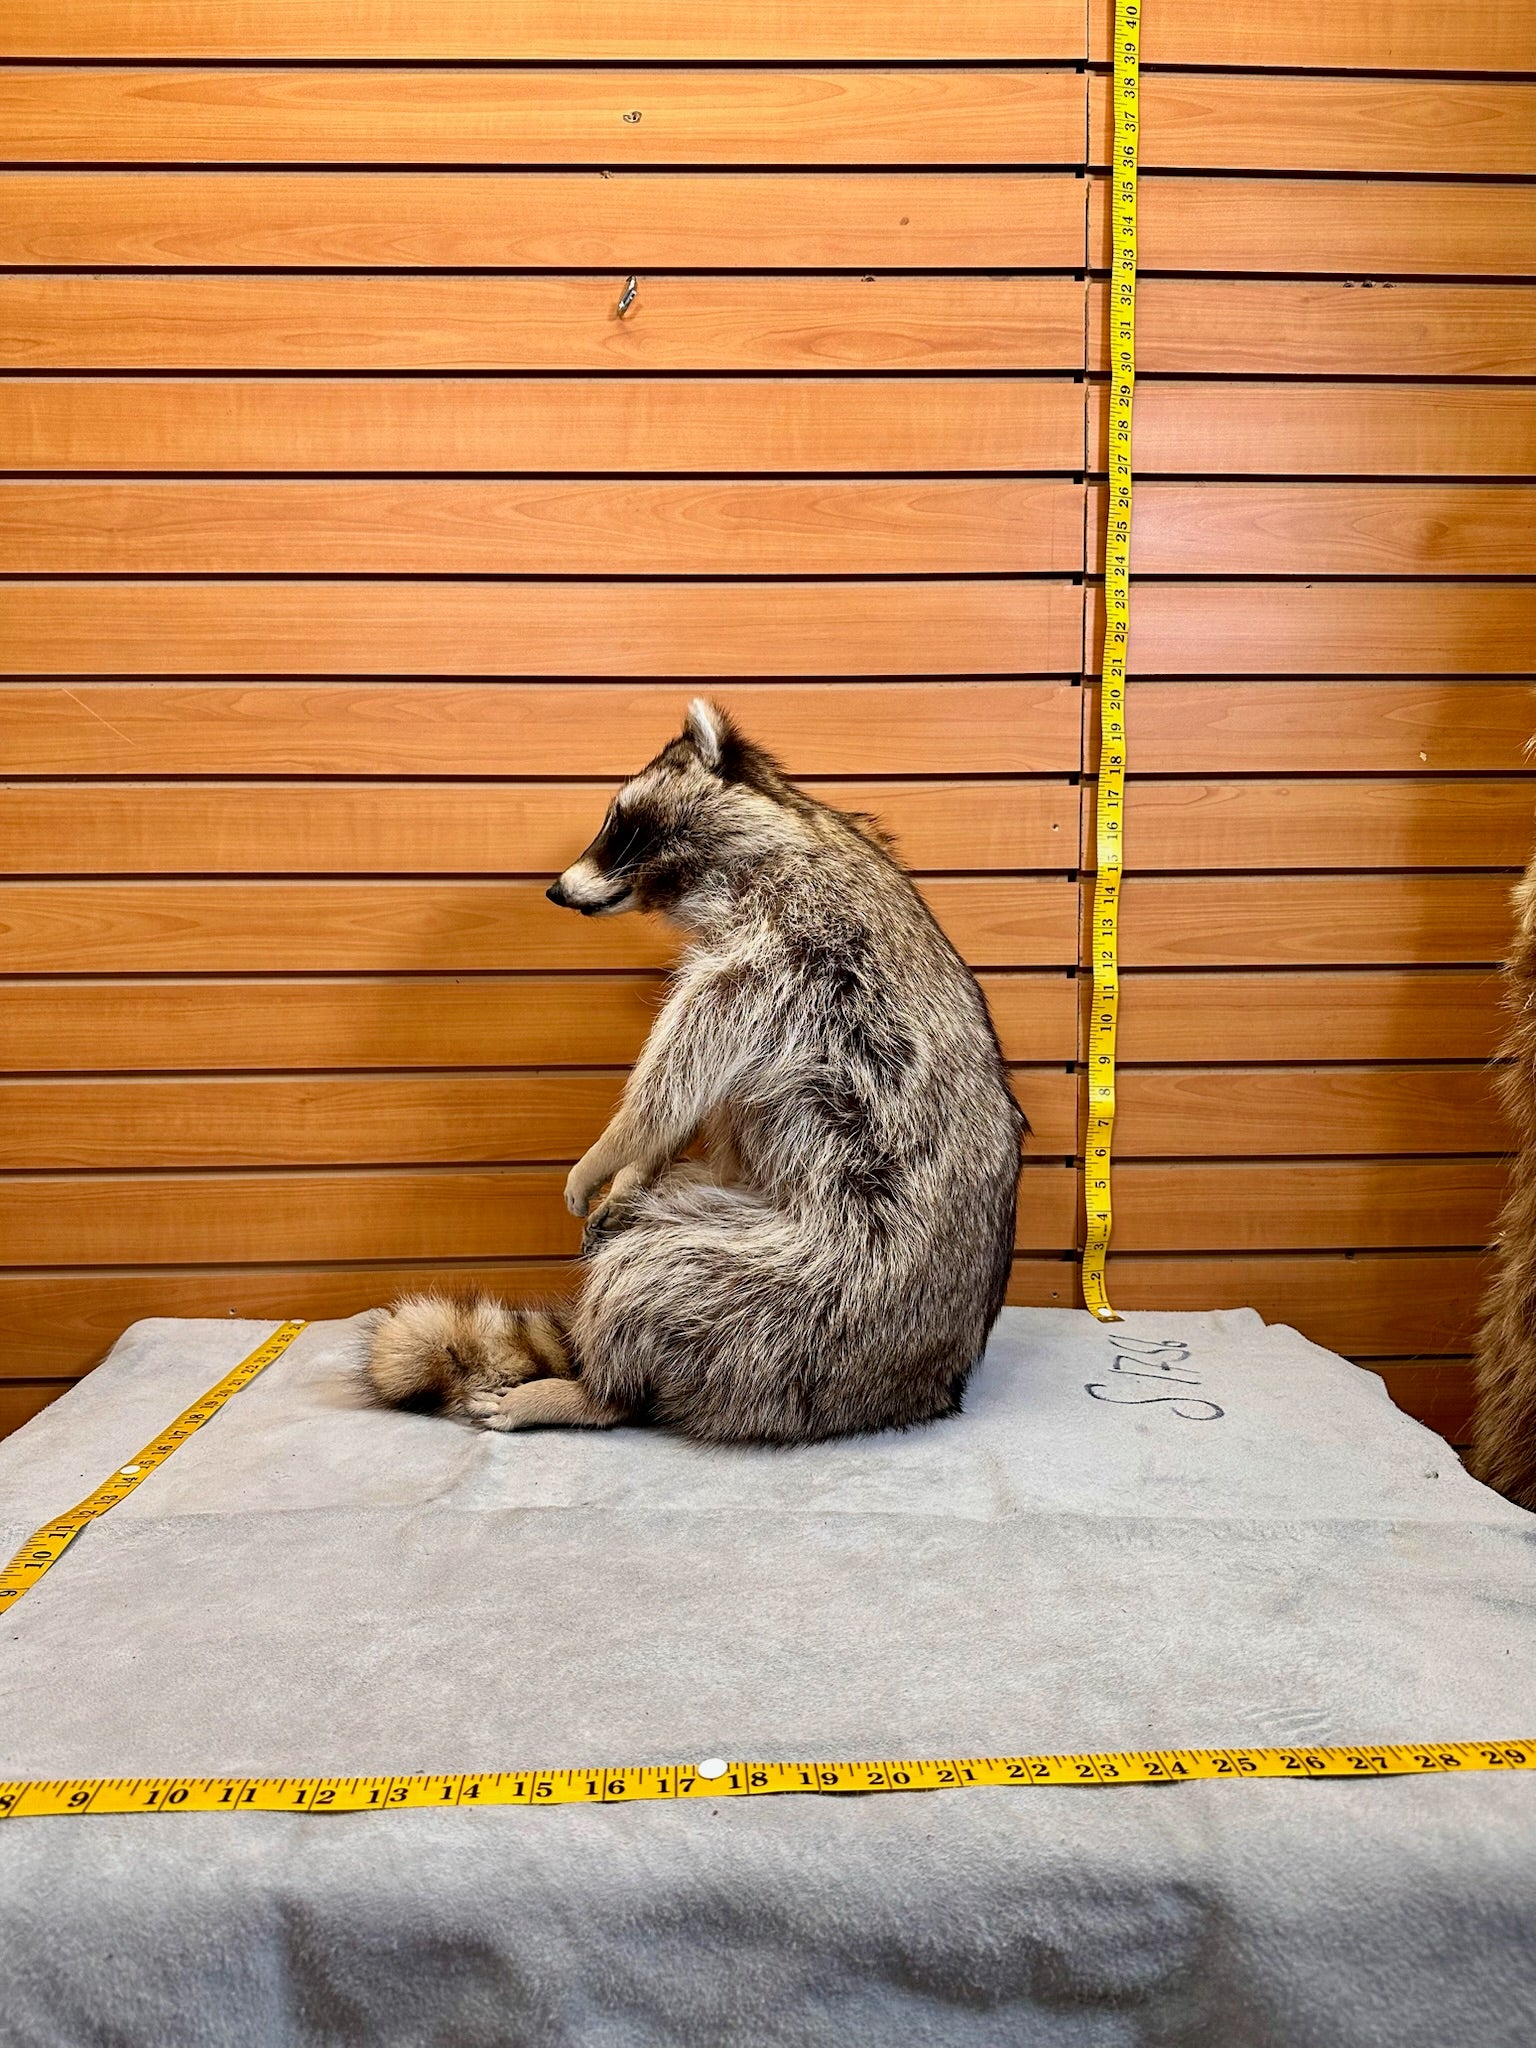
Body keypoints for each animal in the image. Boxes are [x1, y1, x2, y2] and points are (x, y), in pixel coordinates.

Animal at [366, 699, 1027, 1446]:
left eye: (621, 827)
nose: (554, 889)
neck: (782, 830)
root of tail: (922, 1388)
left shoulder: (792, 945)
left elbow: (684, 1064)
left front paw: (611, 1150)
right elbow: (703, 1101)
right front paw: (634, 1169)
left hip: (821, 1293)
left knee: (651, 1278)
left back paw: (600, 1391)